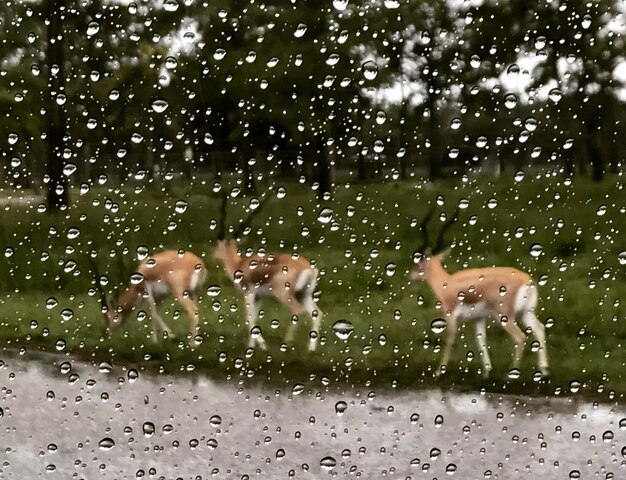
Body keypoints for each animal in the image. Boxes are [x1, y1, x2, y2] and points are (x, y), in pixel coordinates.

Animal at [213, 193, 322, 350]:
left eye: (218, 244)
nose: (213, 254)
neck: (240, 264)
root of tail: (308, 268)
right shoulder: (259, 297)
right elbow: (255, 317)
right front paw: (252, 346)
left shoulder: (249, 294)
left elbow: (249, 318)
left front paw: (261, 346)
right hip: (304, 295)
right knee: (317, 314)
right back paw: (311, 349)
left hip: (284, 294)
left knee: (298, 311)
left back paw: (286, 342)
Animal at [410, 209, 544, 378]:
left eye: (418, 263)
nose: (410, 274)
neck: (446, 283)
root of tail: (526, 281)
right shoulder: (478, 318)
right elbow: (481, 341)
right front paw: (487, 371)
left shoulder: (450, 315)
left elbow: (449, 339)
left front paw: (439, 371)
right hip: (526, 313)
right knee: (540, 329)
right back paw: (544, 371)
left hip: (504, 316)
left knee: (520, 338)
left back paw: (510, 375)